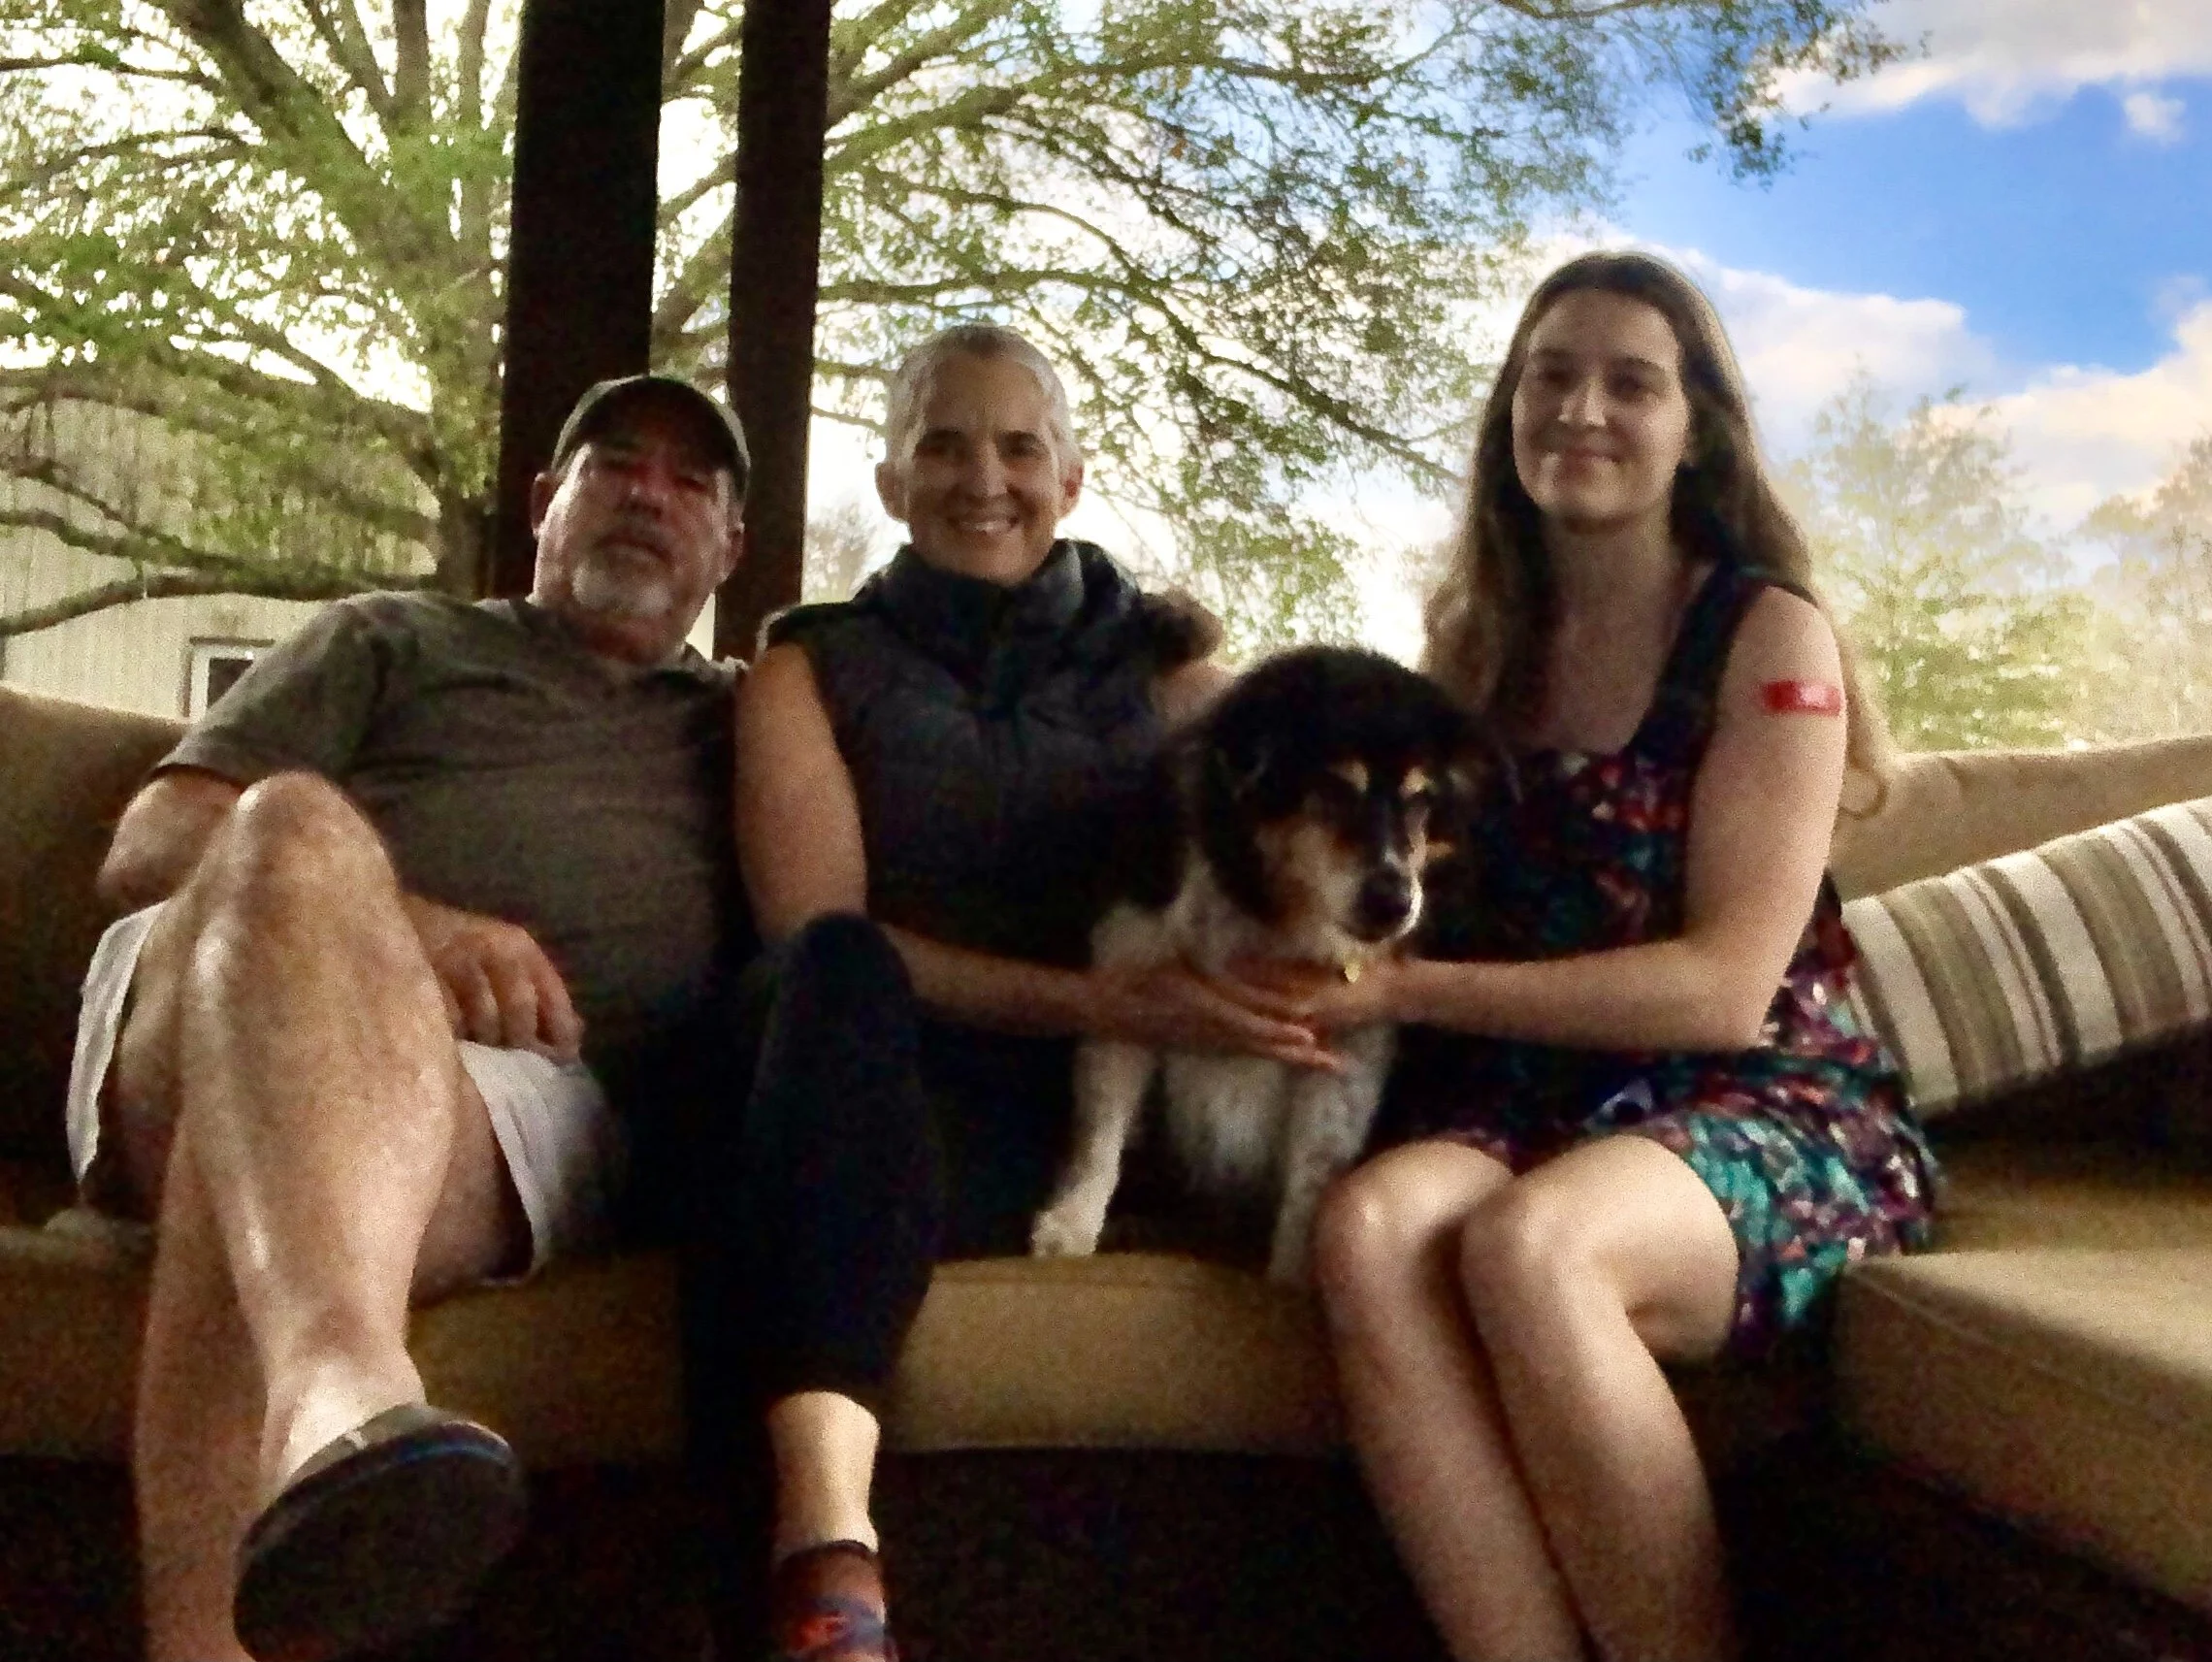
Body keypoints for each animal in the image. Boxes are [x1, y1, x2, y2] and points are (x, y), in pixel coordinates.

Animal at [1029, 645, 1486, 1284]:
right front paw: (1069, 1230)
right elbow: (1101, 1132)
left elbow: (1313, 1177)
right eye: (1335, 787)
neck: (1266, 914)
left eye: (1421, 801)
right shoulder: (1132, 996)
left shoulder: (1347, 1054)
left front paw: (1292, 1278)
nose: (1395, 904)